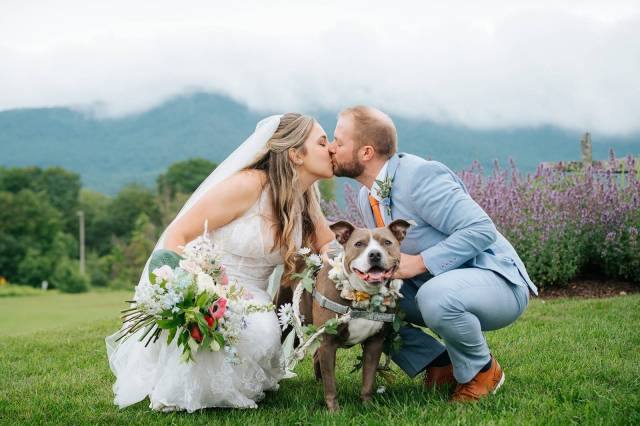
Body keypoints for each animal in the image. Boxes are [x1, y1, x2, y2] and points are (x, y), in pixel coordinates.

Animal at [312, 218, 412, 412]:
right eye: (359, 244)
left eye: (387, 242)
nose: (374, 254)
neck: (364, 294)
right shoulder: (328, 343)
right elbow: (331, 384)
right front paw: (334, 411)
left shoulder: (375, 343)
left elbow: (368, 379)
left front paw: (368, 406)